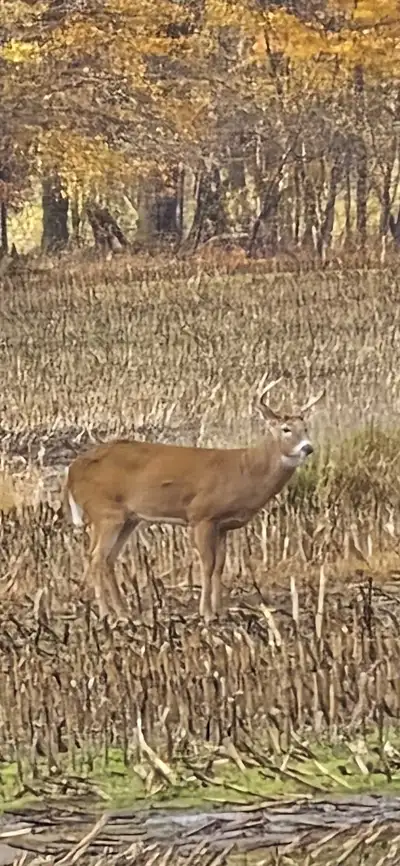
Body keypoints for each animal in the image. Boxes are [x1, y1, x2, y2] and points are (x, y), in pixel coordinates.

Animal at [64, 379, 324, 623]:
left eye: (306, 427)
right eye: (286, 429)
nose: (308, 448)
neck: (247, 470)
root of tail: (72, 470)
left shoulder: (223, 524)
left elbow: (220, 566)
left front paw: (221, 612)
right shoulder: (202, 516)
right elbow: (207, 564)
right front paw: (206, 613)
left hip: (127, 518)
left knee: (107, 559)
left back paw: (125, 613)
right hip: (106, 512)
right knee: (96, 558)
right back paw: (106, 614)